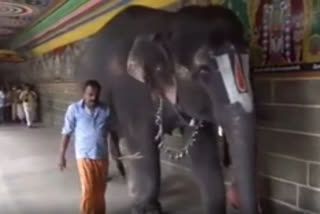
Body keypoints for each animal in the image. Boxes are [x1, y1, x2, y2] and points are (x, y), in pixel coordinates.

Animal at [76, 4, 258, 214]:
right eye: (204, 70)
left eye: (250, 65)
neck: (166, 23)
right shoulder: (130, 92)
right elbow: (142, 147)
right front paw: (146, 209)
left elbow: (202, 149)